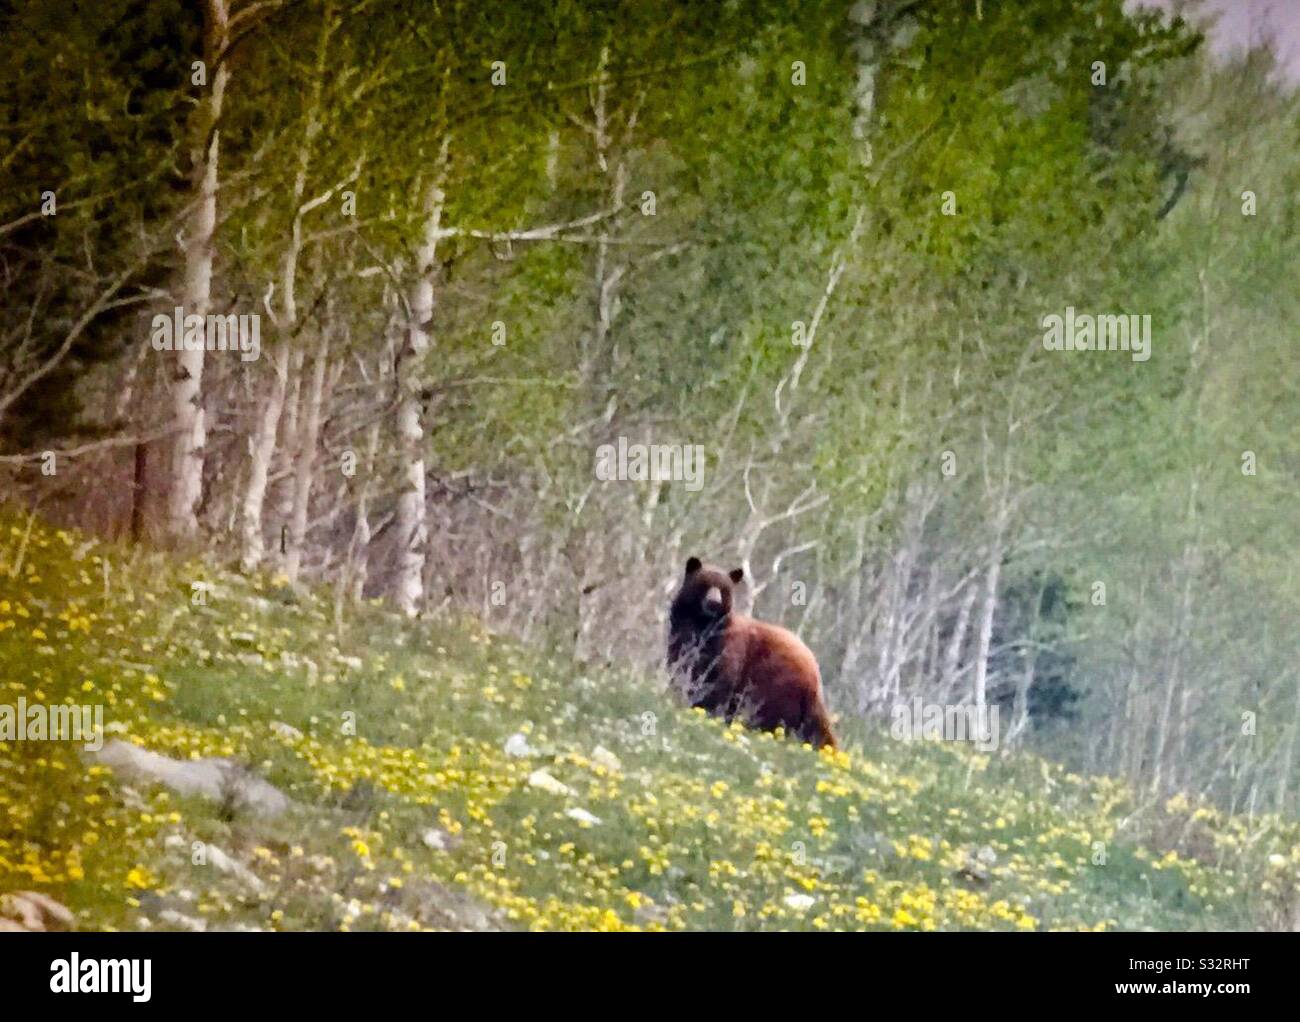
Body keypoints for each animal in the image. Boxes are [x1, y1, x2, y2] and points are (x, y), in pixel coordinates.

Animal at [665, 556, 837, 748]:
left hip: (775, 684)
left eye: (724, 589)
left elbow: (719, 682)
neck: (702, 626)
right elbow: (682, 670)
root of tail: (814, 674)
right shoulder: (680, 641)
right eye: (704, 584)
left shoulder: (728, 648)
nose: (714, 603)